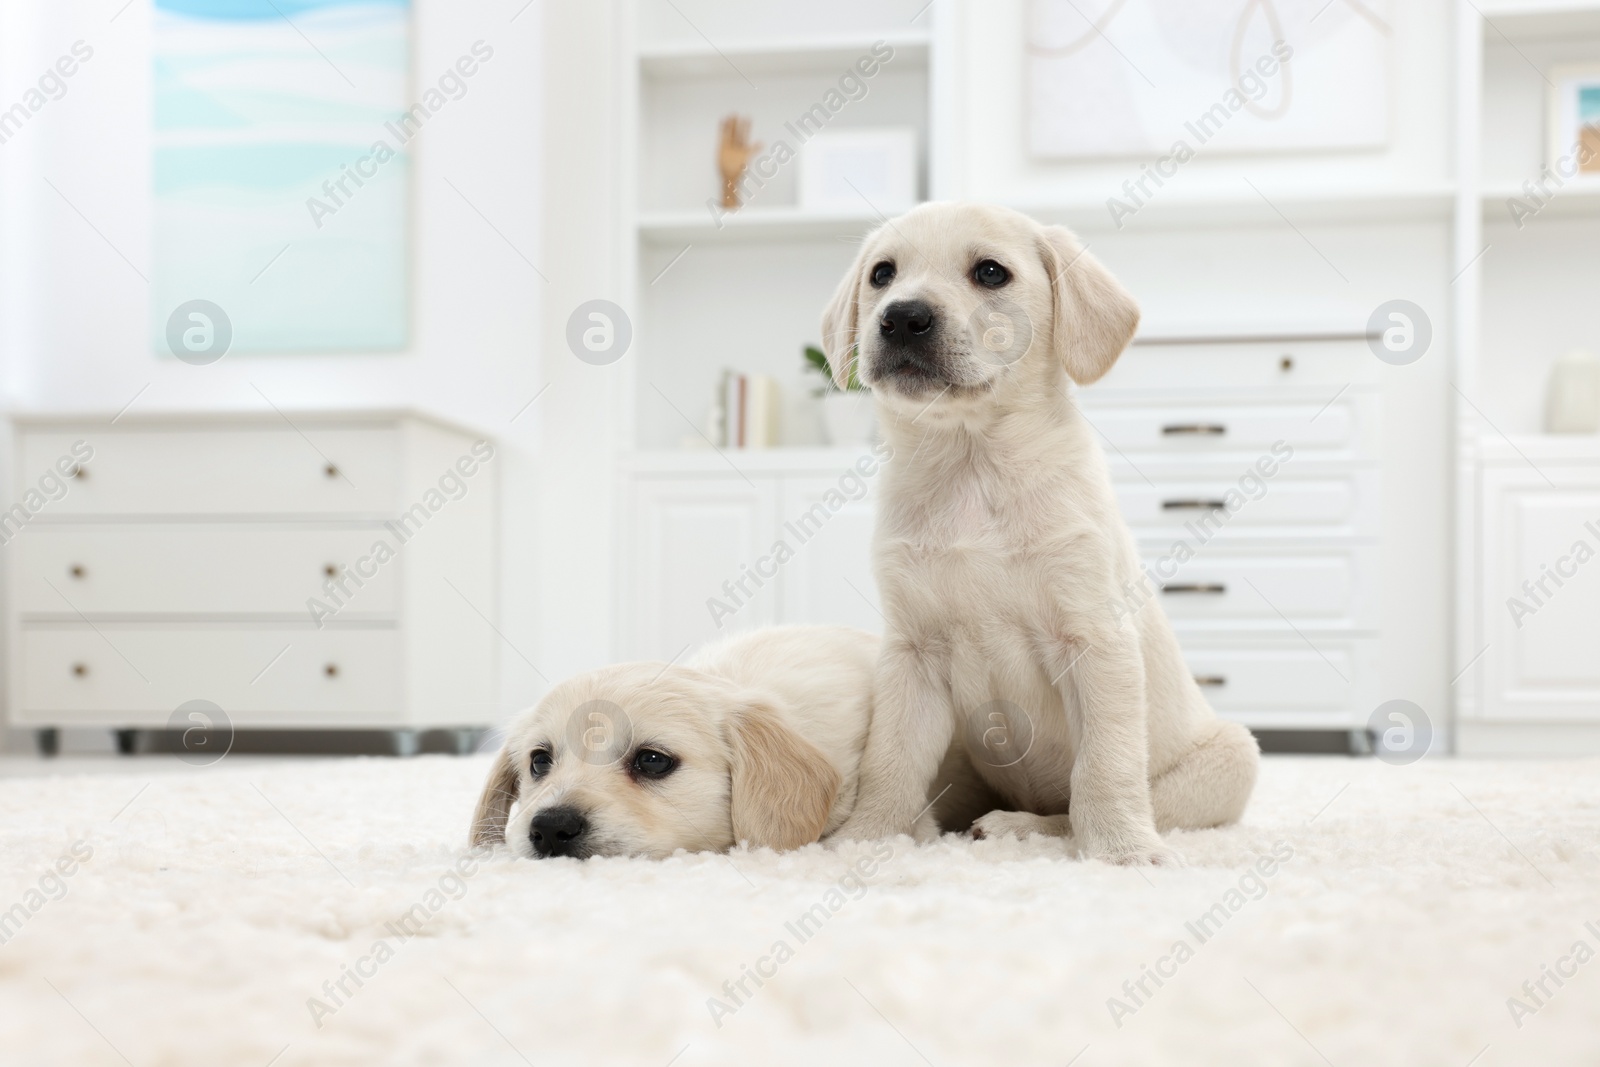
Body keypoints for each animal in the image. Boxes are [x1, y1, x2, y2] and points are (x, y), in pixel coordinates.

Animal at [825, 202, 1260, 870]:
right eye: (882, 274)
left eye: (990, 272)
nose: (901, 318)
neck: (972, 464)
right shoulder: (912, 653)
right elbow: (889, 759)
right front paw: (867, 836)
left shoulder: (1096, 638)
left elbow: (1103, 767)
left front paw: (1124, 852)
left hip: (1231, 758)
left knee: (1078, 807)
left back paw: (1017, 827)